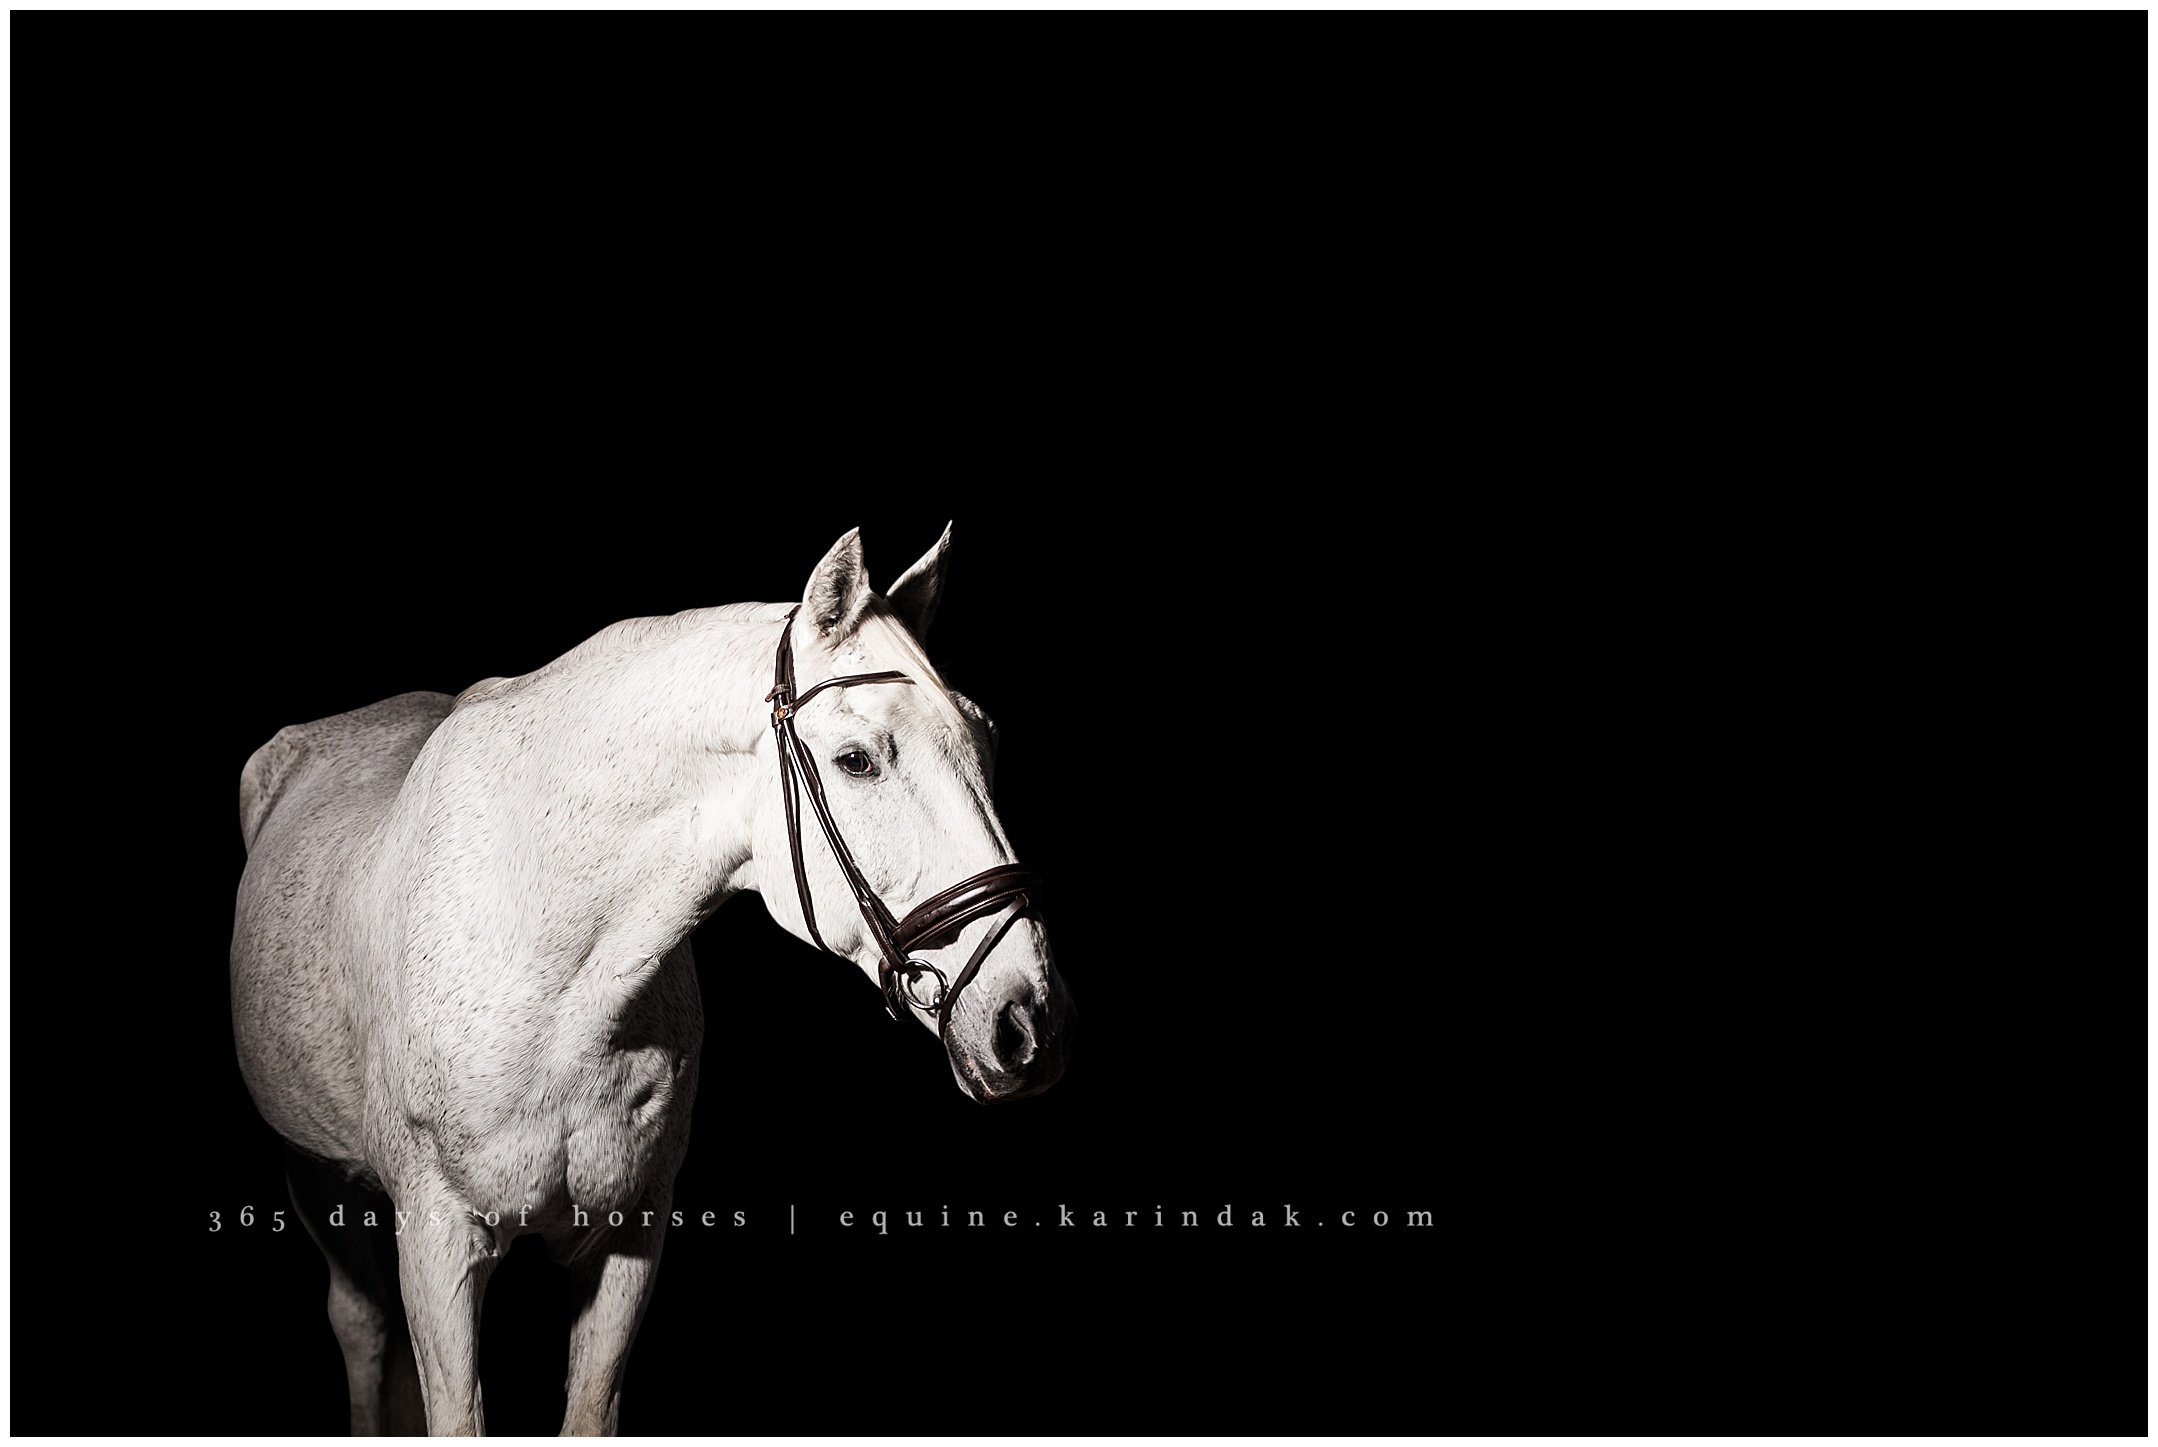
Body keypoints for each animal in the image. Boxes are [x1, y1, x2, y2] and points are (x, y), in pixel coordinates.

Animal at [229, 525, 1074, 1435]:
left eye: (986, 740)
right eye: (856, 761)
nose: (1030, 1021)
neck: (554, 977)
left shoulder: (627, 1241)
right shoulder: (437, 1241)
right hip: (314, 1172)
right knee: (361, 1326)